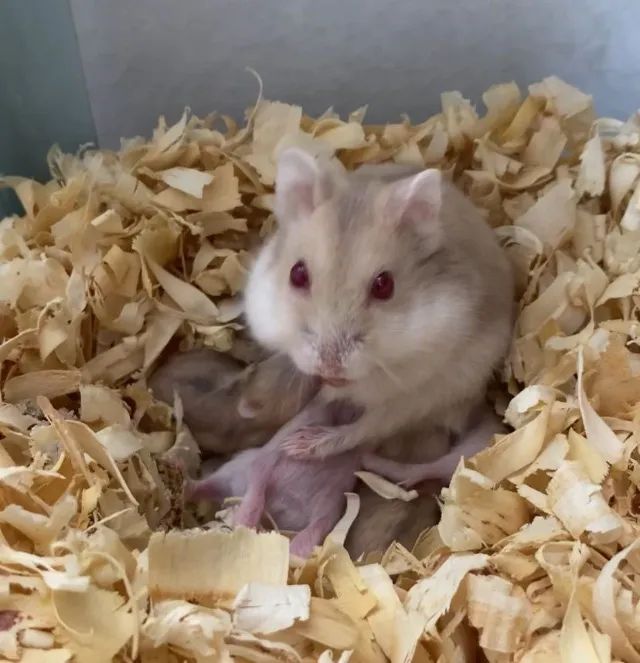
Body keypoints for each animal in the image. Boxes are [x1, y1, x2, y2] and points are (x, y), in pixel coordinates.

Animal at [243, 148, 514, 461]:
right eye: (296, 274)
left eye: (384, 285)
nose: (330, 368)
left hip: (431, 395)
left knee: (365, 429)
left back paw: (300, 445)